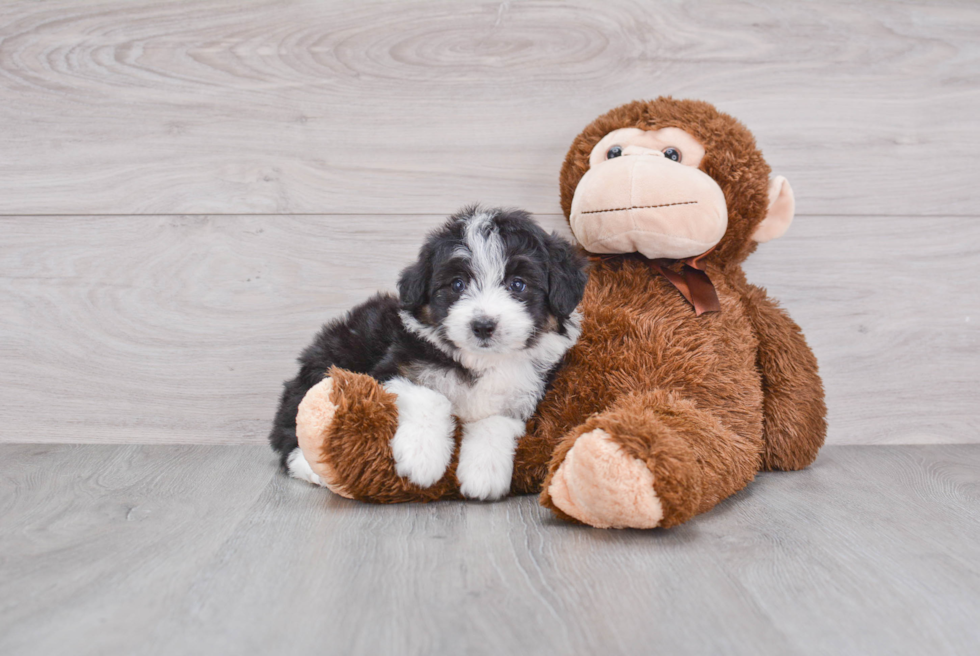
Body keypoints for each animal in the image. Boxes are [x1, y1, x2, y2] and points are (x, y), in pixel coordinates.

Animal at [266, 208, 588, 500]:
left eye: (517, 284)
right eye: (457, 284)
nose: (483, 326)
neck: (481, 362)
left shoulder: (527, 399)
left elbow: (495, 421)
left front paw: (483, 473)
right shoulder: (394, 368)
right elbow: (431, 395)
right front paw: (421, 457)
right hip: (328, 361)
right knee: (290, 431)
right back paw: (313, 468)